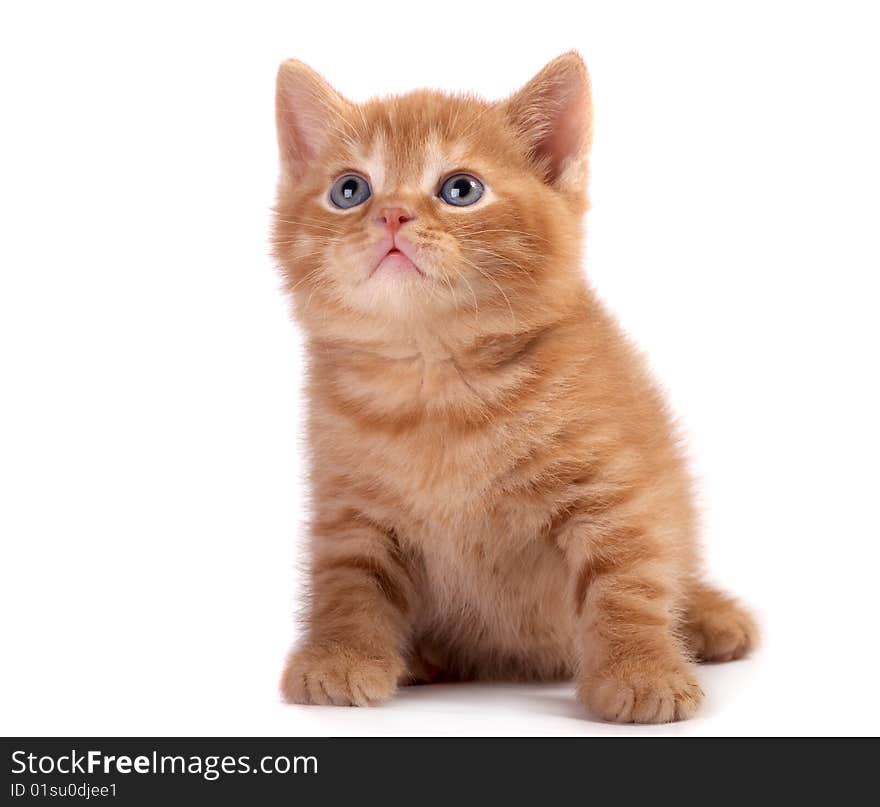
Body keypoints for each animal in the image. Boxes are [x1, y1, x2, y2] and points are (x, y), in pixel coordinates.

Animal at [274, 53, 756, 724]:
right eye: (350, 190)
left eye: (460, 190)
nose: (391, 214)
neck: (436, 383)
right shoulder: (349, 507)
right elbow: (348, 582)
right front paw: (340, 658)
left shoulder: (610, 489)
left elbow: (627, 580)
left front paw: (641, 673)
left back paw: (710, 617)